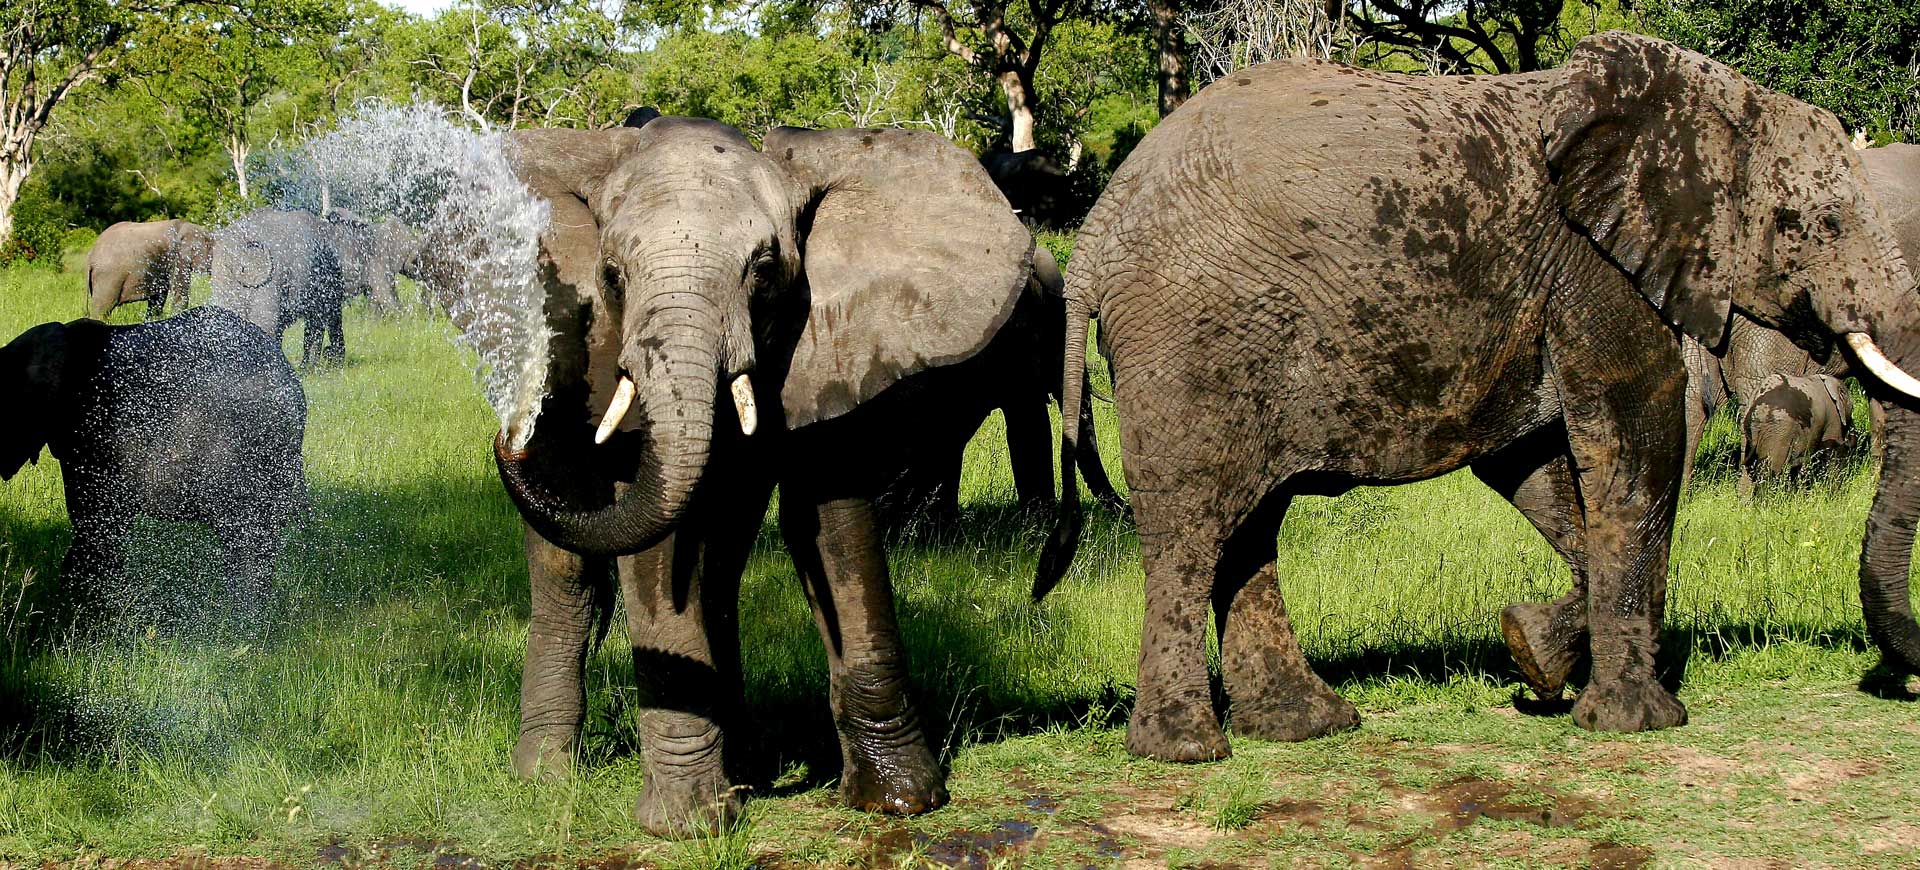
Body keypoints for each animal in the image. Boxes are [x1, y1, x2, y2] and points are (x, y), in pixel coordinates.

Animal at [85, 219, 213, 321]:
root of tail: (91, 256)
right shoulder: (175, 258)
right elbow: (180, 294)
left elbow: (158, 299)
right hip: (107, 277)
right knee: (102, 309)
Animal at [485, 117, 1036, 836]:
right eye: (610, 275)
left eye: (765, 269)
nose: (505, 439)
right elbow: (659, 554)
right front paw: (689, 827)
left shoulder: (828, 339)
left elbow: (831, 526)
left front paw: (901, 800)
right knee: (569, 579)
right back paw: (546, 779)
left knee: (718, 568)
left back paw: (746, 769)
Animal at [1031, 32, 1920, 762]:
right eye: (1822, 223)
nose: (1901, 678)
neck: (1712, 104)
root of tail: (1094, 237)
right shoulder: (1595, 265)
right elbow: (1638, 432)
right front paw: (1640, 722)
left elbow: (1536, 467)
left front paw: (1531, 653)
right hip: (1190, 340)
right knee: (1190, 527)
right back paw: (1187, 751)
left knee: (1251, 525)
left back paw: (1306, 726)